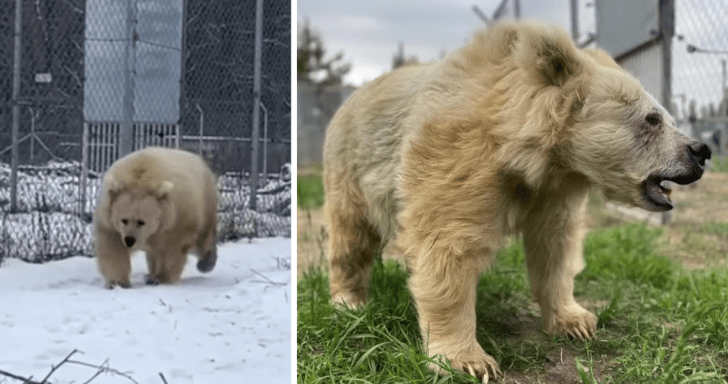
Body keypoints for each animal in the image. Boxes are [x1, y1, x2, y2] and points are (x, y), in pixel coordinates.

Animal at [92, 146, 216, 288]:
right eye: (124, 220)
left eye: (141, 222)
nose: (129, 240)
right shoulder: (109, 220)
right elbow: (112, 247)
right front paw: (118, 282)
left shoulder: (176, 219)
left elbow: (172, 249)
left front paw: (160, 279)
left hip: (205, 202)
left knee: (204, 235)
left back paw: (206, 263)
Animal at [322, 21, 712, 384]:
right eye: (653, 118)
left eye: (670, 118)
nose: (700, 151)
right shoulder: (456, 159)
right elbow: (447, 247)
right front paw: (468, 361)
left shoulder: (553, 191)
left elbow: (555, 246)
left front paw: (577, 320)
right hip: (351, 169)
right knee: (351, 235)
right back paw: (349, 301)